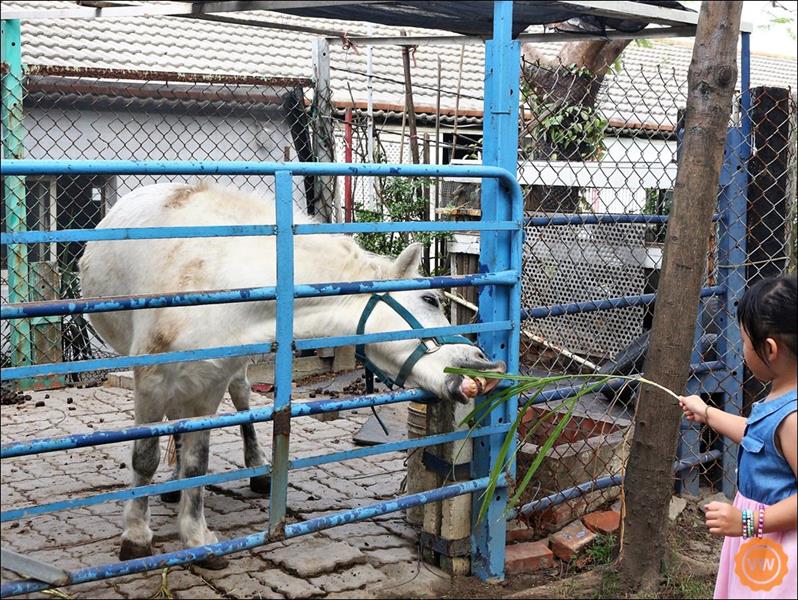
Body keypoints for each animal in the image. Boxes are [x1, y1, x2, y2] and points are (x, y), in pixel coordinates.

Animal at [78, 180, 504, 564]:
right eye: (430, 299)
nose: (483, 366)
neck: (218, 275)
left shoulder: (210, 384)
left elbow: (197, 461)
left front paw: (197, 539)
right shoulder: (151, 380)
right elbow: (144, 458)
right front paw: (136, 537)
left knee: (241, 398)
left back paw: (252, 470)